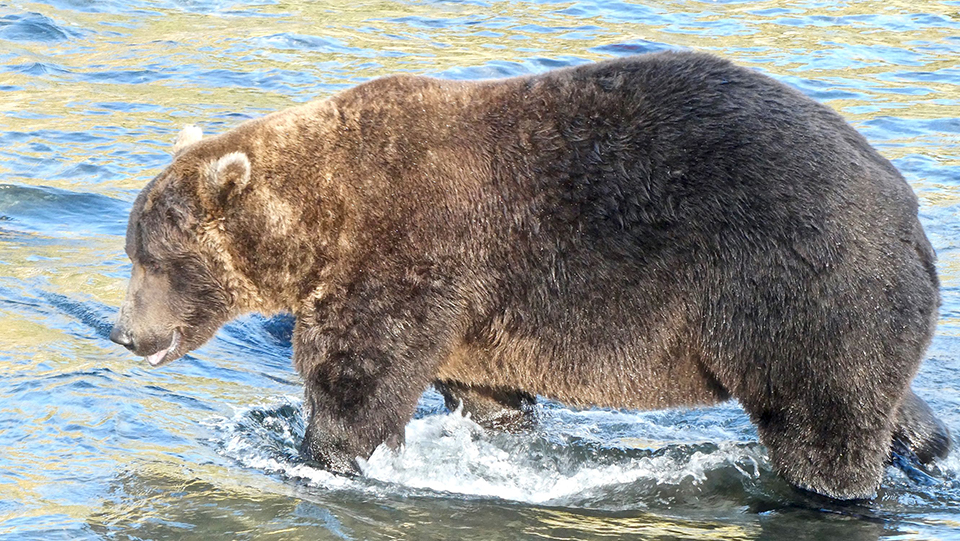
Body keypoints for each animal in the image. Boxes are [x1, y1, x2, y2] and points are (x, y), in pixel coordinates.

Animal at [110, 50, 950, 500]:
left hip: (805, 285)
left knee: (823, 423)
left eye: (149, 256)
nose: (124, 331)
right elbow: (488, 396)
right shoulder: (473, 316)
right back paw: (923, 442)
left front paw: (323, 452)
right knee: (881, 400)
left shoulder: (407, 258)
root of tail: (911, 212)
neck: (320, 221)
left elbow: (356, 382)